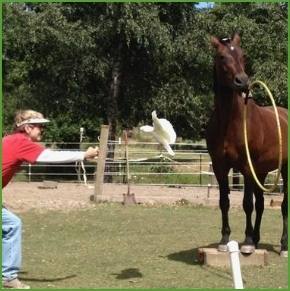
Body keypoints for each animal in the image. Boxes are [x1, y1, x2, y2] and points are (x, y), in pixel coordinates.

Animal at [206, 34, 288, 256]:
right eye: (222, 56)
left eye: (243, 55)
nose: (242, 81)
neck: (230, 122)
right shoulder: (220, 167)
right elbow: (224, 202)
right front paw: (225, 240)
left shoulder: (246, 168)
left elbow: (246, 204)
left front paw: (248, 241)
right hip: (261, 171)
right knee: (261, 204)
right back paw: (259, 239)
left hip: (284, 169)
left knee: (283, 206)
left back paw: (283, 245)